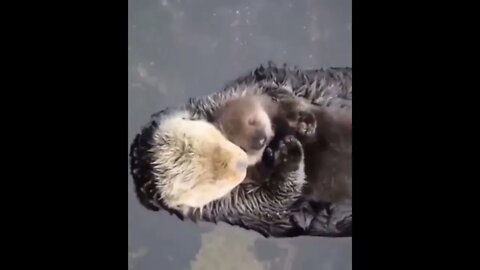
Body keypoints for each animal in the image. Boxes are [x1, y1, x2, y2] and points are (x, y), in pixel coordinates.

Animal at [129, 62, 350, 236]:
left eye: (217, 139)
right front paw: (288, 154)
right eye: (215, 182)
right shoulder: (237, 206)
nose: (241, 163)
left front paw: (297, 119)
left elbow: (269, 89)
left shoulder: (225, 97)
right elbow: (274, 201)